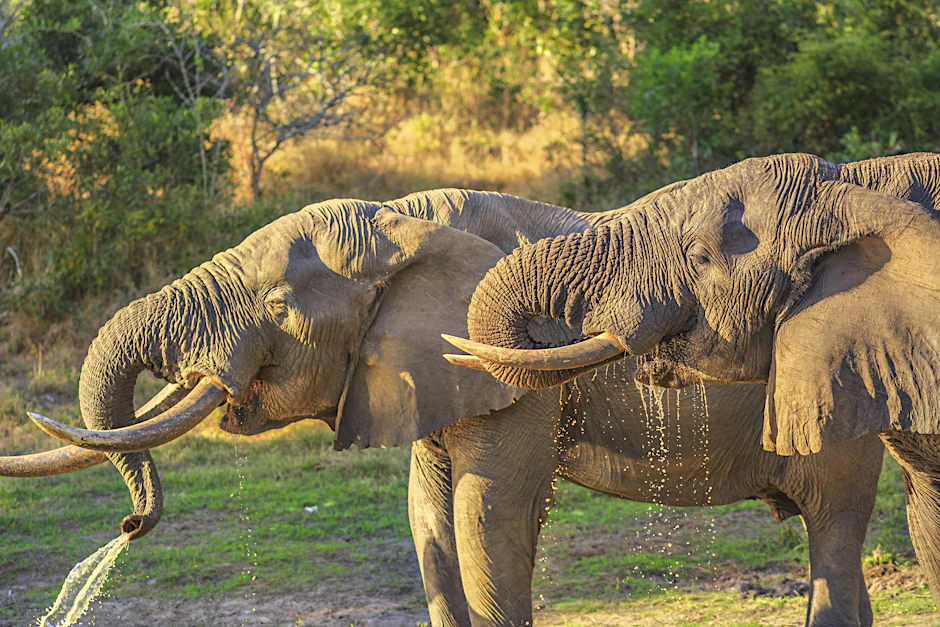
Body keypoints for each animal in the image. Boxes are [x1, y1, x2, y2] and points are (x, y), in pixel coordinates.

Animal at [0, 187, 886, 627]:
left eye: (280, 308)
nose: (129, 524)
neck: (403, 220)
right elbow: (428, 512)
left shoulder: (512, 361)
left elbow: (484, 514)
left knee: (835, 532)